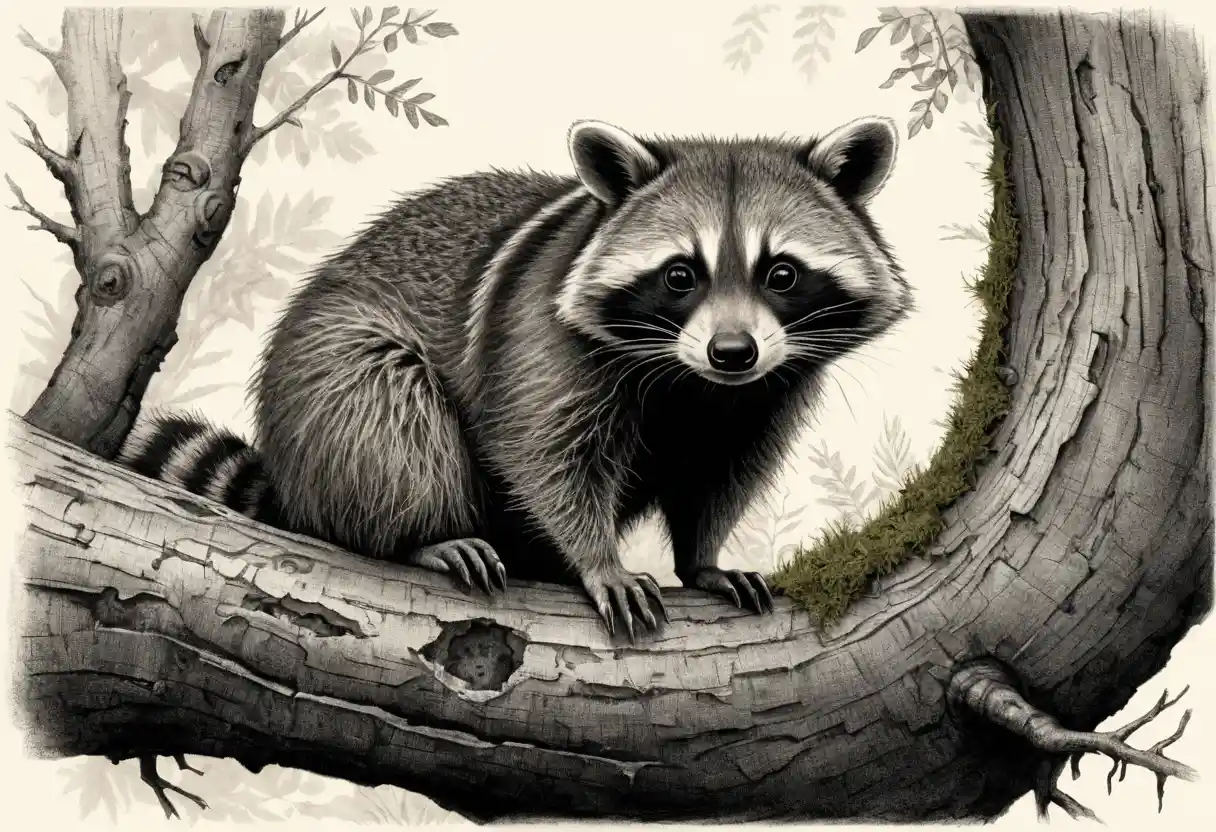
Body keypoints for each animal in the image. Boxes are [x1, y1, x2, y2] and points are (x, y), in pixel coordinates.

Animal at [120, 116, 911, 640]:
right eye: (681, 275)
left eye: (783, 274)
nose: (733, 352)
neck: (693, 384)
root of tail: (292, 480)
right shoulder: (540, 338)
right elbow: (542, 453)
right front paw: (598, 559)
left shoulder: (763, 394)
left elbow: (719, 476)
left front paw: (702, 558)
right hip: (326, 372)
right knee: (386, 414)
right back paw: (418, 536)